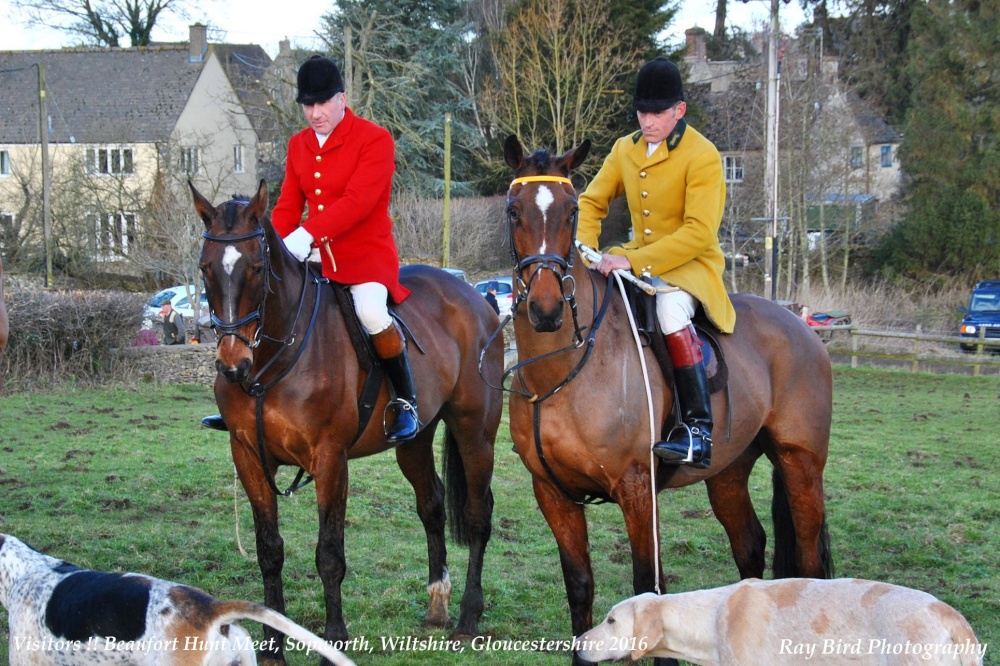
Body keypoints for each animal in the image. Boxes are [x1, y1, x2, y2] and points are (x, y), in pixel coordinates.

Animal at [188, 179, 504, 660]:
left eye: (258, 268)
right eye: (205, 268)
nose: (232, 366)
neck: (271, 361)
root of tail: (476, 297)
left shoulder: (330, 460)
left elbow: (329, 554)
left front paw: (334, 638)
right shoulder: (248, 457)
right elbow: (269, 551)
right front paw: (273, 645)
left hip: (475, 432)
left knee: (477, 513)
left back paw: (469, 615)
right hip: (414, 440)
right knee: (431, 504)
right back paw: (438, 603)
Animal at [500, 137, 836, 660]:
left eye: (572, 211)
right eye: (514, 210)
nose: (546, 308)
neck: (562, 371)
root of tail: (799, 324)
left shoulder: (637, 488)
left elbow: (647, 588)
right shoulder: (552, 493)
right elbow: (579, 586)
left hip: (800, 463)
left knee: (808, 562)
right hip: (728, 473)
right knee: (750, 547)